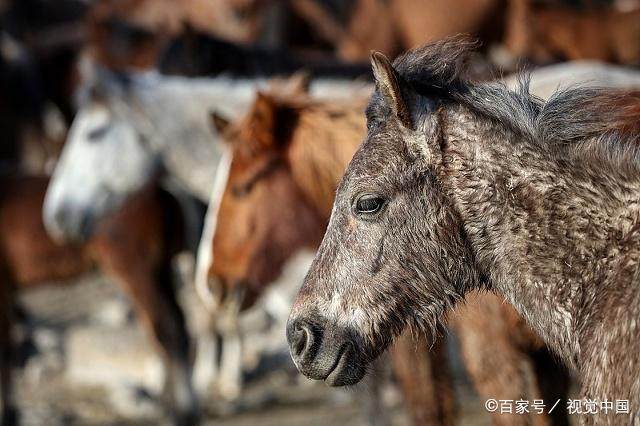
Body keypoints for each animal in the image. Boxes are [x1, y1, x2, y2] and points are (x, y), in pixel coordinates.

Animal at [0, 174, 196, 426]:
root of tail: (165, 196)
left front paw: (8, 415)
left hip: (135, 269)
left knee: (167, 329)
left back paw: (179, 412)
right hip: (160, 270)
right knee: (175, 325)